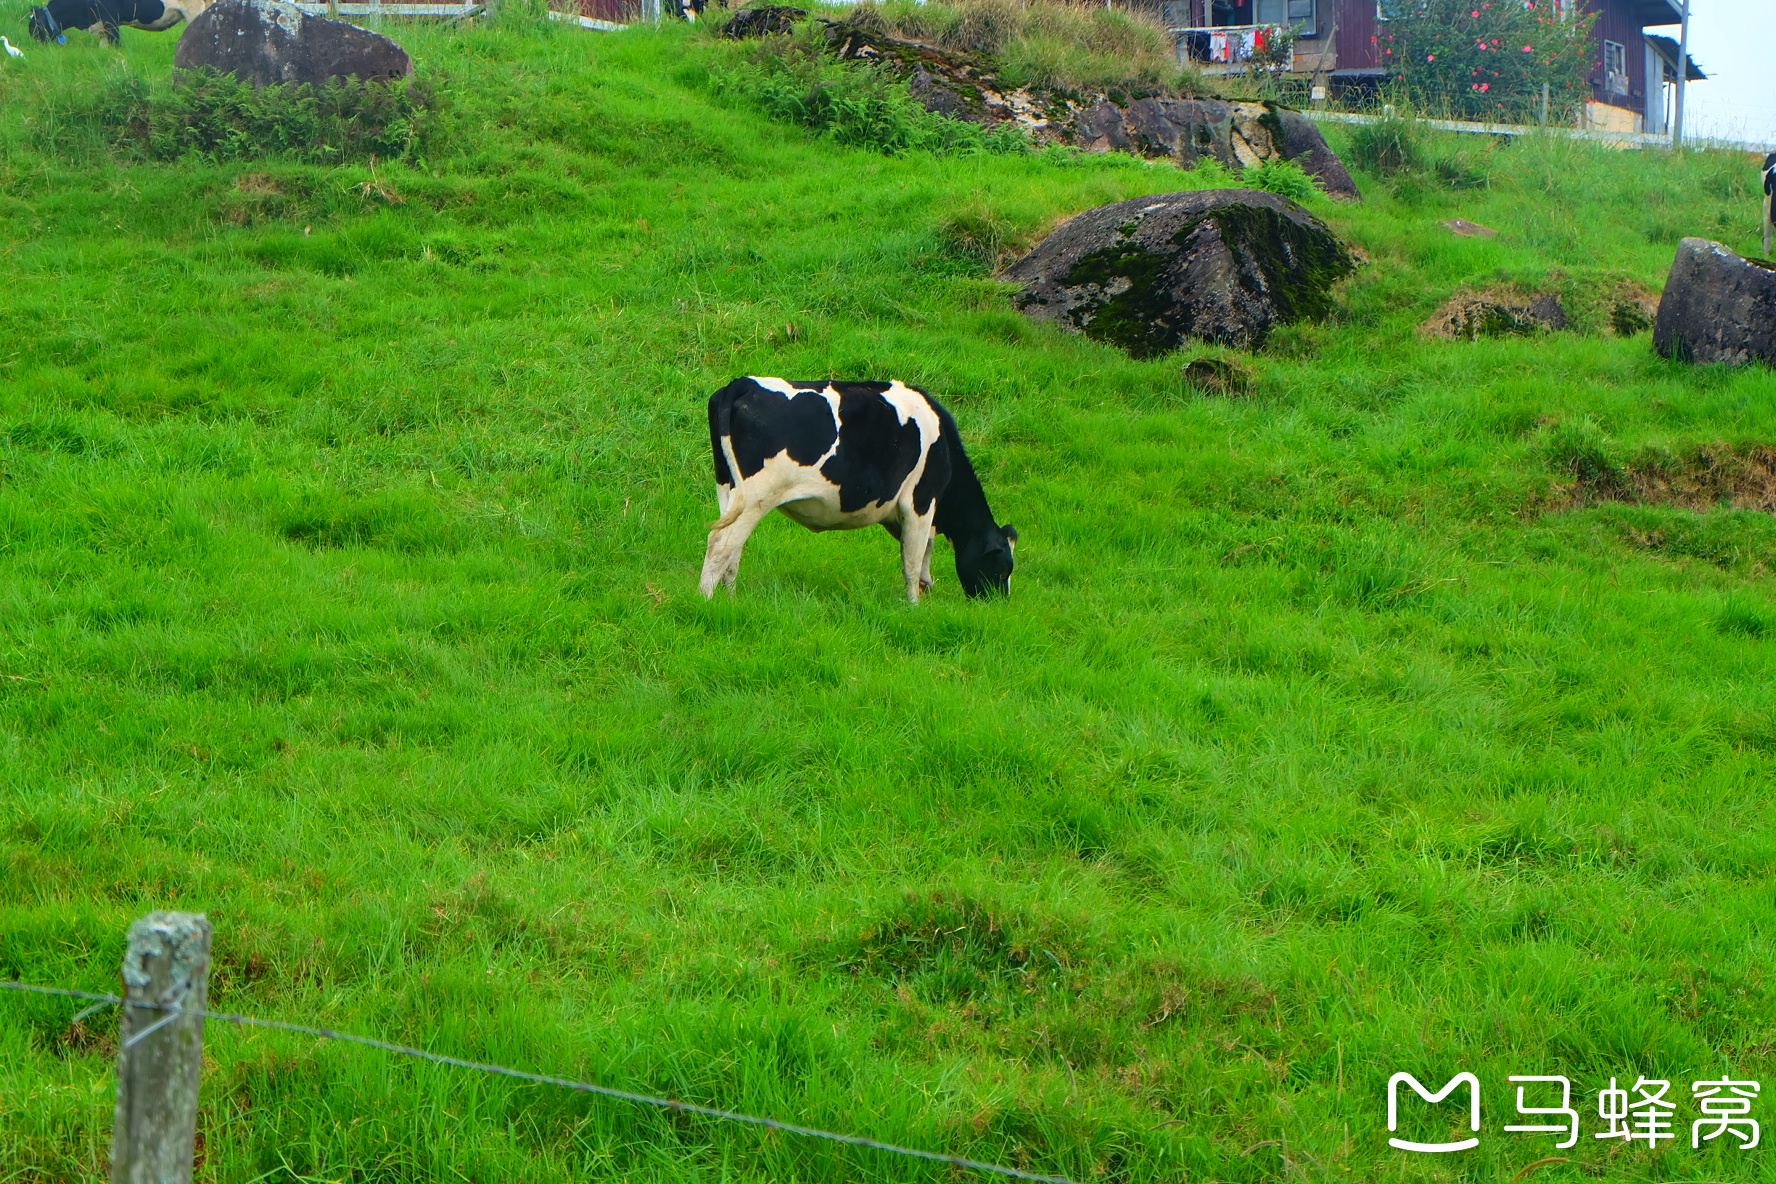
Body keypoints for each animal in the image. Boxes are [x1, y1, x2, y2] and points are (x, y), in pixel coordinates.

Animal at [703, 378, 1022, 603]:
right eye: (1003, 568)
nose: (998, 604)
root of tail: (743, 383)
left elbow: (923, 555)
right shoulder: (920, 501)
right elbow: (912, 559)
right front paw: (913, 606)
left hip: (729, 489)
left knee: (733, 547)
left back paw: (730, 598)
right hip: (756, 494)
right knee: (721, 543)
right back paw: (705, 598)